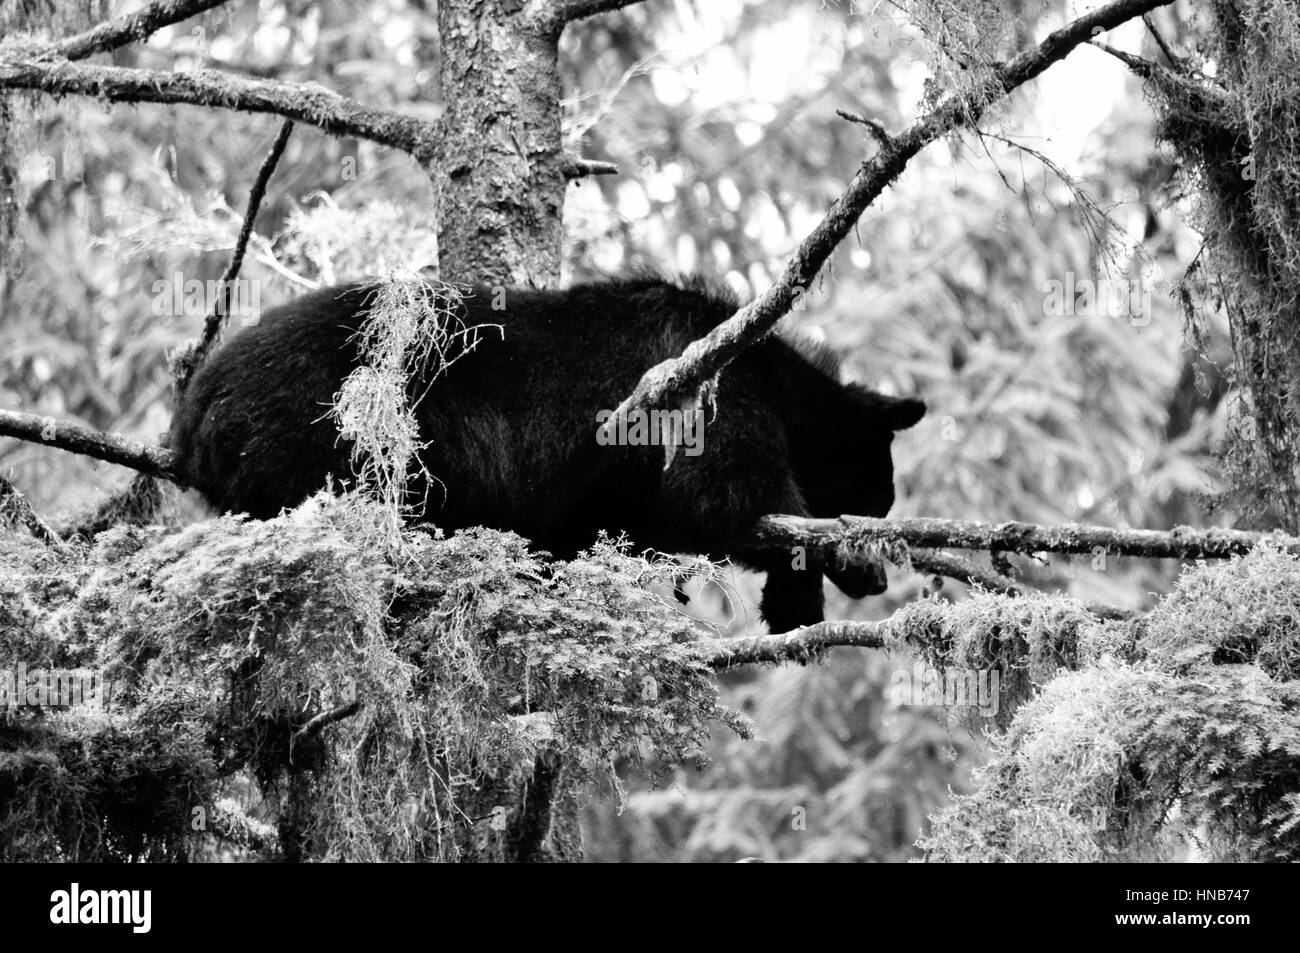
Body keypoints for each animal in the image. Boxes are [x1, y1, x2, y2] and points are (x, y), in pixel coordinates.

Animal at [172, 275, 925, 631]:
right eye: (875, 499)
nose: (879, 582)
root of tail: (193, 410)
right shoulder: (709, 389)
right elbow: (723, 490)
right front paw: (827, 563)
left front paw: (795, 599)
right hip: (322, 438)